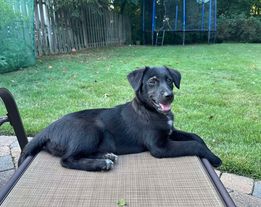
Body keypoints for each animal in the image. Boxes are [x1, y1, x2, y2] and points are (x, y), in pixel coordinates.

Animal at [18, 67, 220, 171]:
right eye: (152, 81)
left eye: (170, 80)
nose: (168, 96)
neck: (150, 111)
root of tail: (46, 130)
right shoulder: (159, 147)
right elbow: (193, 145)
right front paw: (215, 159)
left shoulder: (171, 132)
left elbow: (196, 136)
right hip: (90, 129)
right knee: (66, 159)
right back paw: (102, 163)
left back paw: (106, 155)